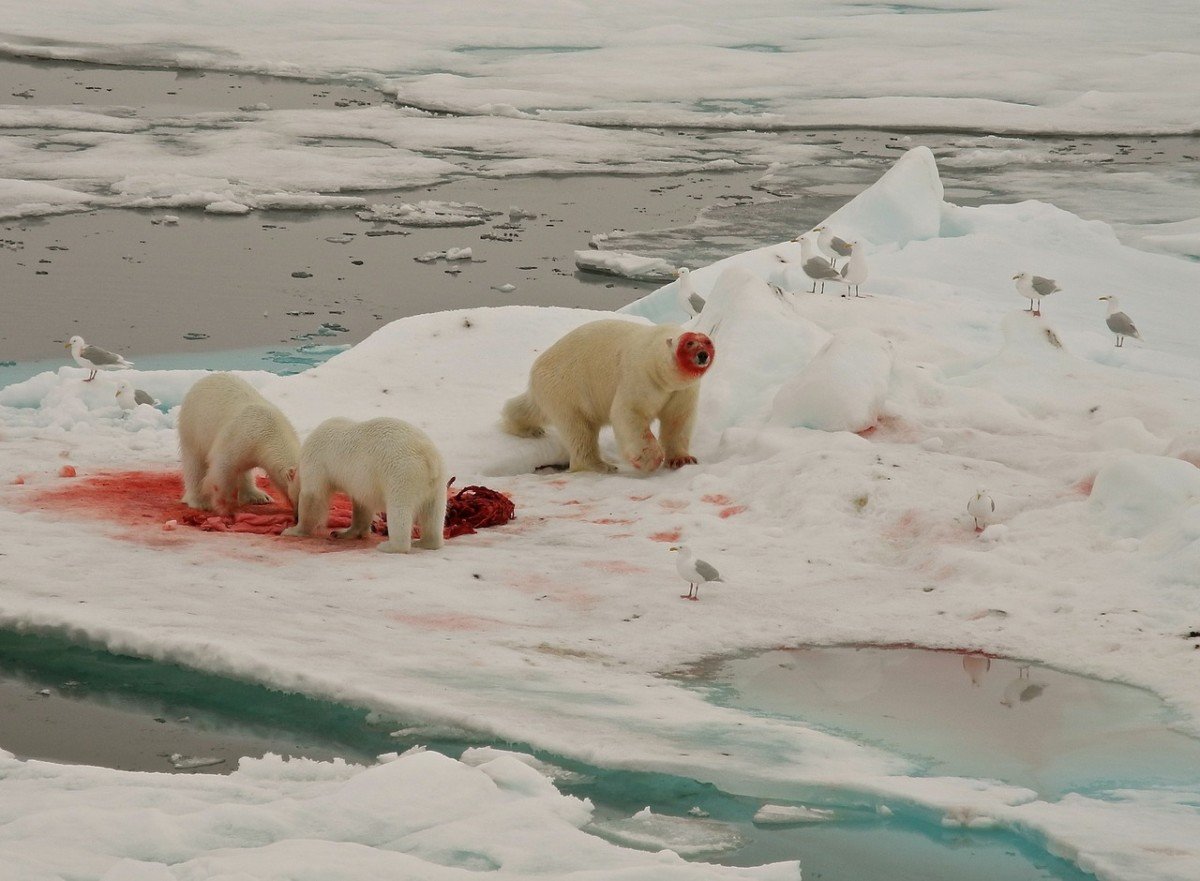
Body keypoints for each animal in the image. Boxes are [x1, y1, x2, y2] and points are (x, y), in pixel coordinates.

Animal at [177, 372, 301, 514]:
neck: (270, 430)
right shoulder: (239, 437)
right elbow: (222, 467)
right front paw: (223, 506)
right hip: (192, 428)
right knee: (194, 464)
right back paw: (200, 502)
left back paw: (258, 496)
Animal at [282, 416, 447, 554]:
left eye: (292, 499)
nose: (294, 516)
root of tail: (428, 457)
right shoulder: (363, 484)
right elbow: (363, 505)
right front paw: (343, 533)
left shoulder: (316, 462)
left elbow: (313, 497)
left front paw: (293, 530)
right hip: (437, 483)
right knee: (433, 513)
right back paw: (425, 542)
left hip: (402, 474)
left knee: (399, 509)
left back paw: (389, 546)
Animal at [501, 319, 715, 473]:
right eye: (689, 343)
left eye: (707, 342)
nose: (703, 355)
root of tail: (536, 370)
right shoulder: (639, 376)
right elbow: (629, 413)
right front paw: (647, 459)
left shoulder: (683, 391)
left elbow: (678, 419)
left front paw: (682, 459)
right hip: (566, 389)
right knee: (579, 430)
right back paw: (601, 465)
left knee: (530, 408)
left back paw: (527, 428)